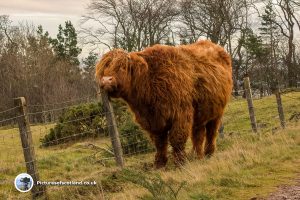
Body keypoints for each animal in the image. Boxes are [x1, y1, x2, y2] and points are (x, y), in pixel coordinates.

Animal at [95, 40, 232, 169]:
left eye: (122, 67)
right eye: (104, 68)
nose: (106, 80)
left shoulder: (181, 114)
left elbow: (177, 140)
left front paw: (180, 163)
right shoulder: (152, 121)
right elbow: (159, 143)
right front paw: (159, 165)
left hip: (217, 112)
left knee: (211, 132)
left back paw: (208, 154)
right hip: (200, 113)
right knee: (198, 134)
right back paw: (197, 156)